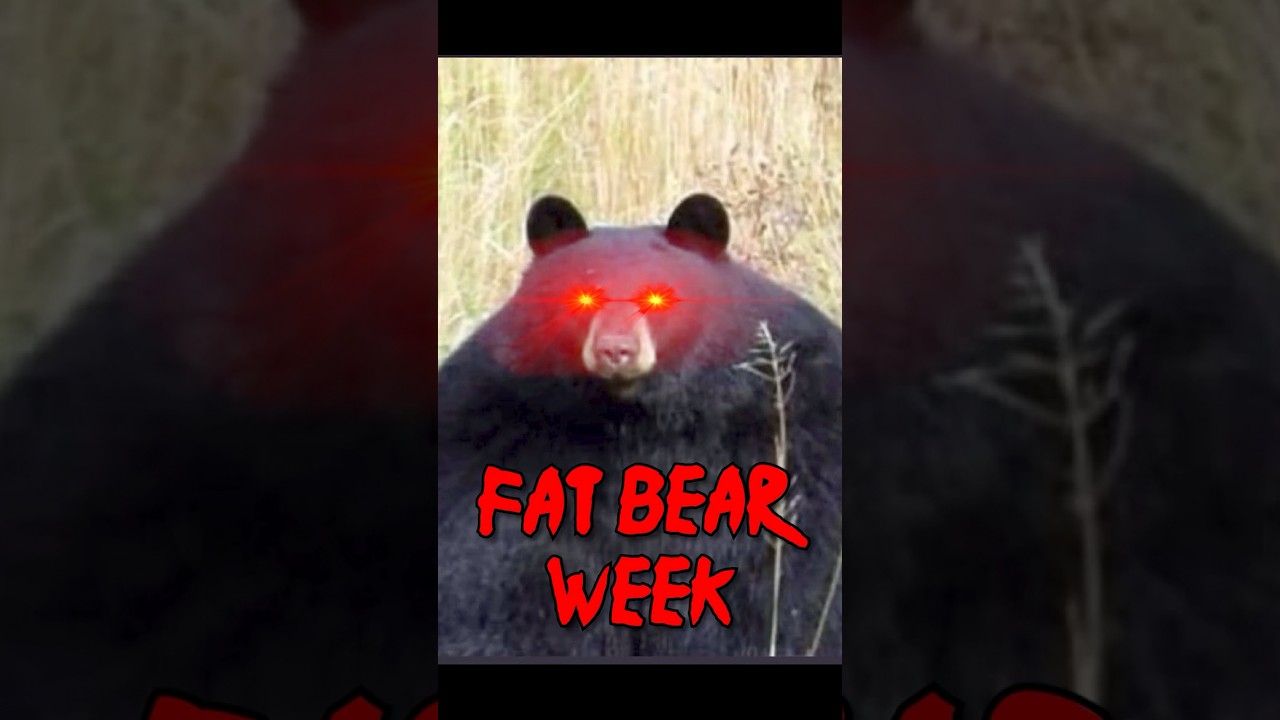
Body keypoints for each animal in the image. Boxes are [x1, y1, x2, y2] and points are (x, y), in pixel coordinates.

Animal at [436, 193, 844, 657]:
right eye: (582, 296)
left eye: (658, 296)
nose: (616, 350)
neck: (638, 417)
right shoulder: (497, 431)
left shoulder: (792, 428)